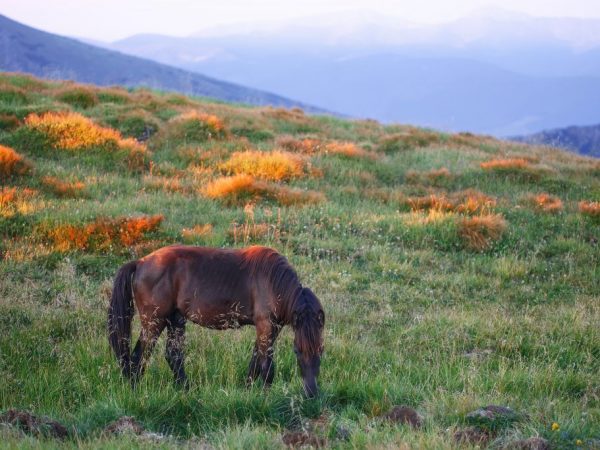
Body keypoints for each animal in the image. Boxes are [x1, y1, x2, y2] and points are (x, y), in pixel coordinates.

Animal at [108, 246, 324, 398]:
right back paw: (135, 391)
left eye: (321, 350)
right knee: (138, 357)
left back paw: (187, 390)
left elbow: (254, 362)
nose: (311, 393)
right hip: (154, 322)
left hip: (175, 320)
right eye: (297, 350)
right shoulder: (266, 326)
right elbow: (267, 367)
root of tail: (140, 262)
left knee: (173, 355)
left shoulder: (271, 329)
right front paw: (266, 397)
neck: (272, 281)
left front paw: (248, 392)